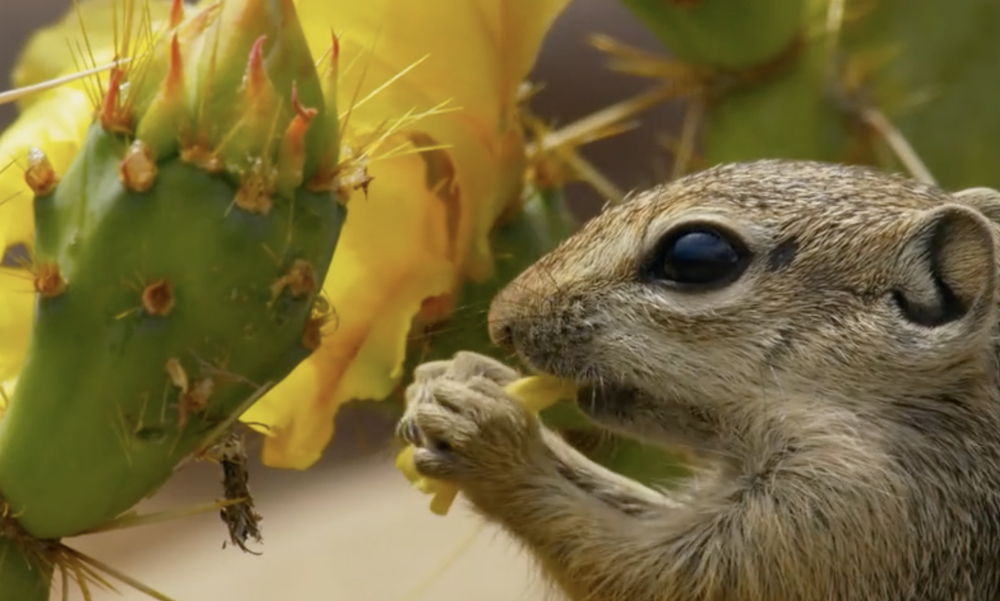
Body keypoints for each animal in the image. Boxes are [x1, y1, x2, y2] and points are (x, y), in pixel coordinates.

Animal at [396, 157, 1000, 596]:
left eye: (696, 256)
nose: (500, 323)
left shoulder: (856, 514)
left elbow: (653, 575)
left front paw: (491, 441)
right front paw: (459, 375)